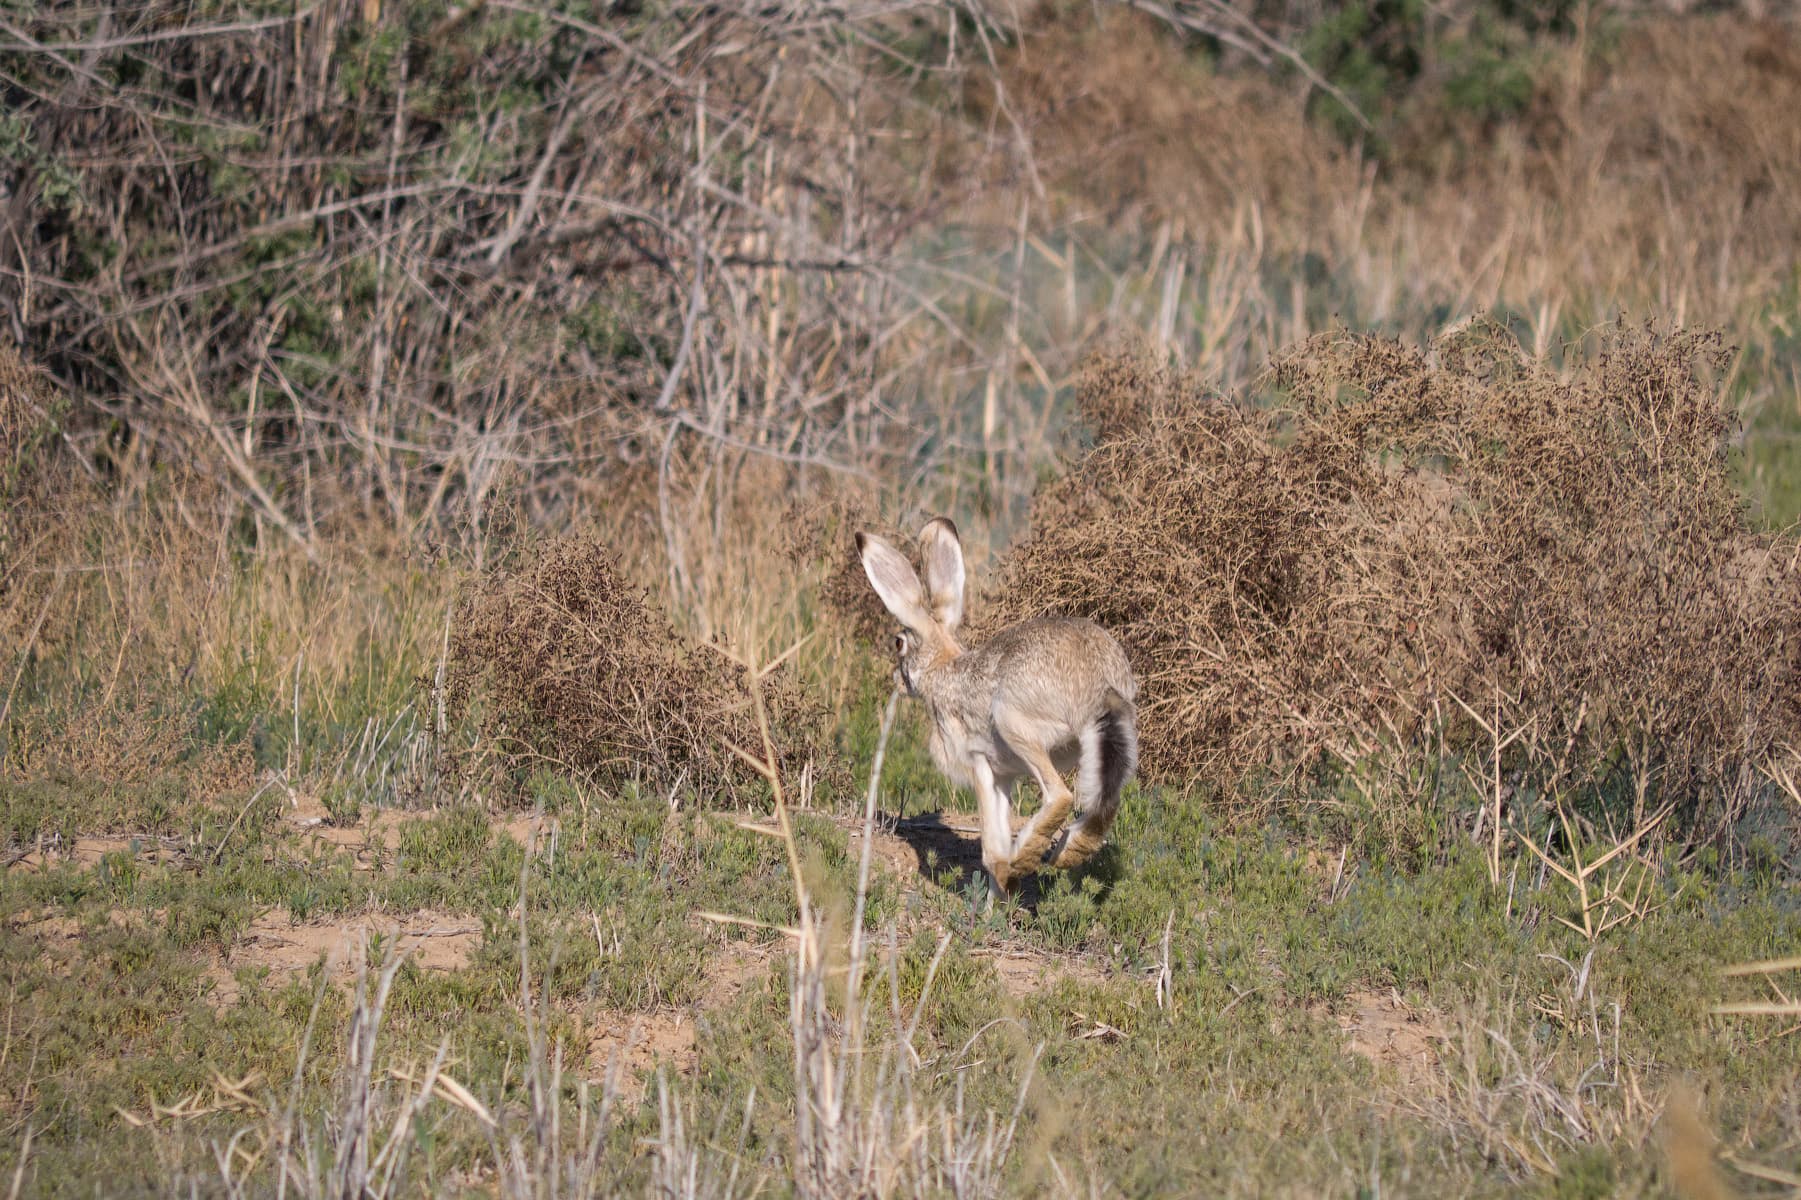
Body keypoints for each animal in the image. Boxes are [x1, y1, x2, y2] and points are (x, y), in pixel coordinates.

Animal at [857, 517, 1138, 897]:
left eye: (898, 643)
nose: (895, 680)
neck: (942, 669)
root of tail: (1099, 686)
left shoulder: (978, 760)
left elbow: (991, 849)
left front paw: (1002, 886)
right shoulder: (1004, 775)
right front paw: (998, 899)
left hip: (1013, 722)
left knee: (1060, 795)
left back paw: (1026, 858)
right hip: (1112, 736)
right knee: (1104, 803)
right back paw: (1065, 853)